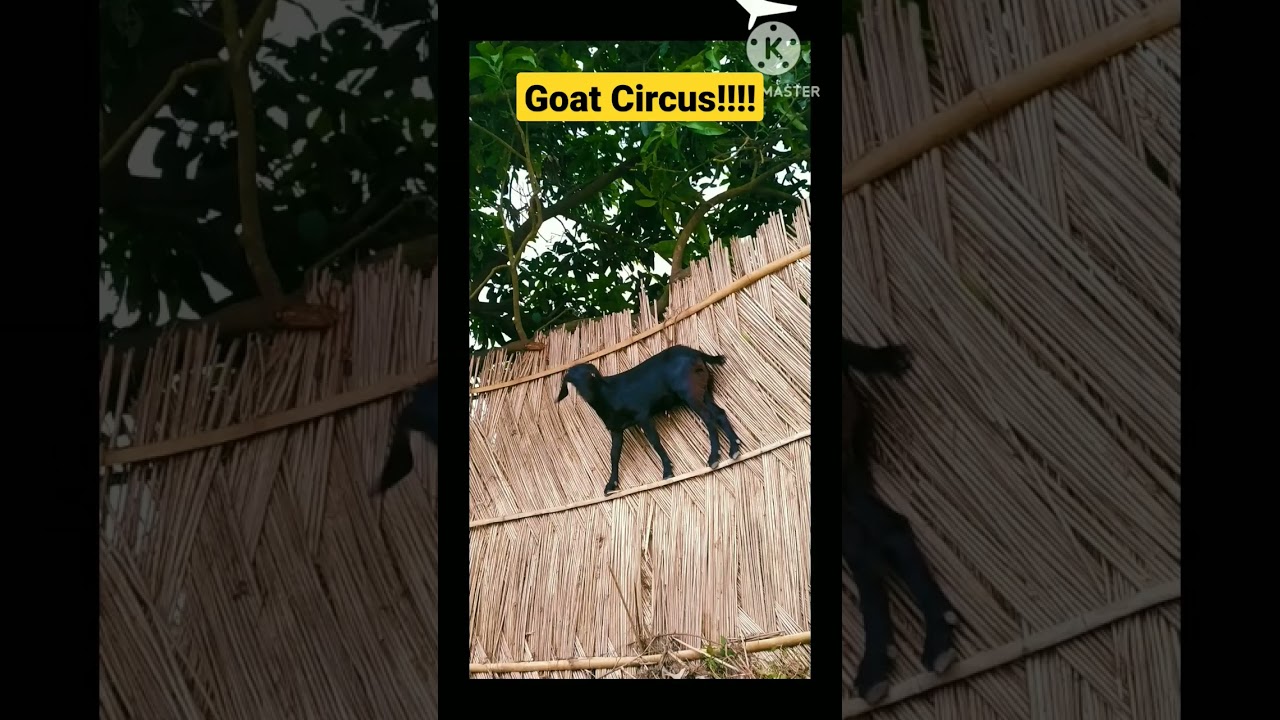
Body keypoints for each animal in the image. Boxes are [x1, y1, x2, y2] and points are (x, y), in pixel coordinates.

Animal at [556, 345, 742, 497]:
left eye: (590, 375)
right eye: (572, 381)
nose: (586, 394)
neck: (609, 396)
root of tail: (695, 352)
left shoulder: (642, 415)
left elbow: (654, 441)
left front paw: (667, 470)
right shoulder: (616, 429)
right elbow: (614, 454)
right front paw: (611, 485)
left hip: (690, 392)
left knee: (708, 417)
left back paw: (714, 457)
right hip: (704, 390)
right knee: (720, 414)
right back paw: (734, 448)